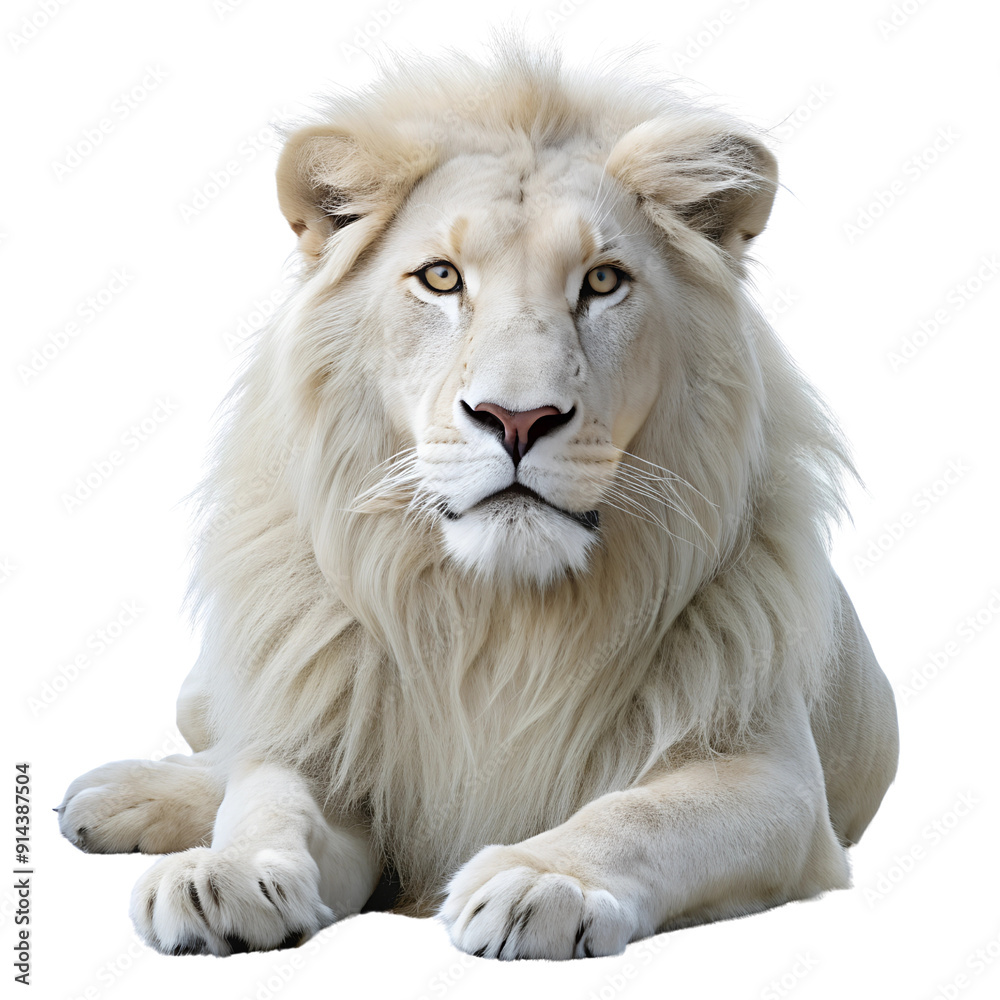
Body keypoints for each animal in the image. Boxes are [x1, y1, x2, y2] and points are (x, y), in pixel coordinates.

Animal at [58, 41, 899, 961]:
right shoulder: (332, 744)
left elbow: (643, 812)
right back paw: (118, 795)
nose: (517, 418)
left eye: (603, 280)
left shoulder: (778, 782)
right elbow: (270, 793)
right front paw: (230, 873)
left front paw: (544, 879)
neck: (501, 618)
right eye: (441, 277)